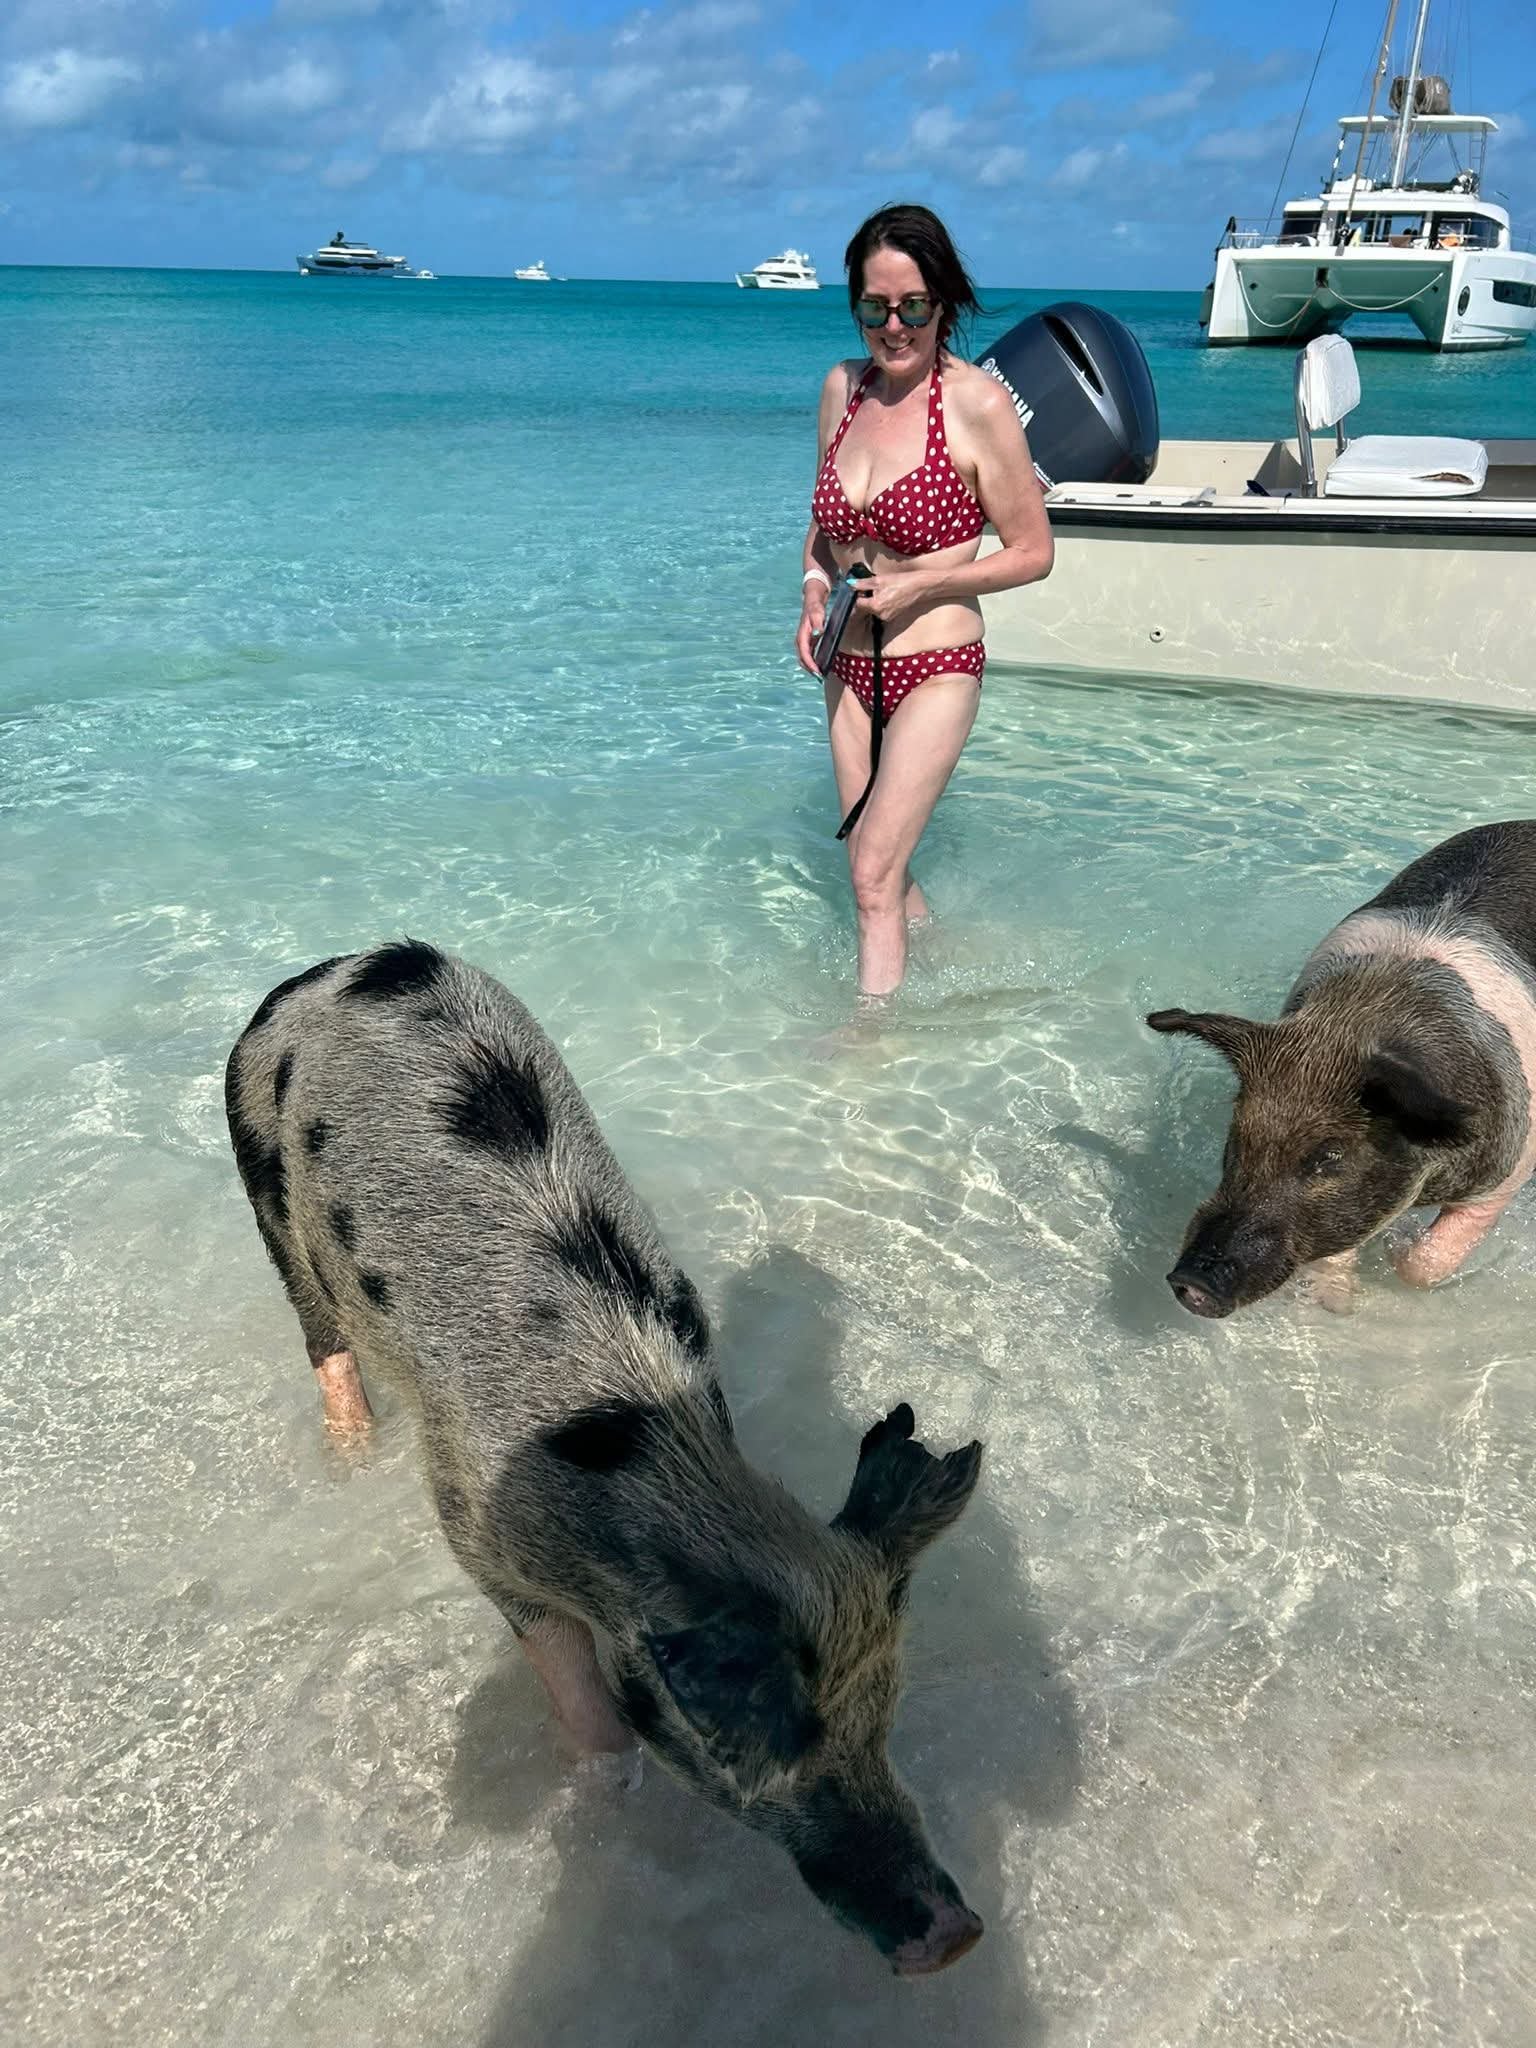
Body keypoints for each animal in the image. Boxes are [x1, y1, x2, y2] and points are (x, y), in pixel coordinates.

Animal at [225, 939, 984, 1974]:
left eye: (885, 1713)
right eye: (751, 1750)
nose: (955, 1935)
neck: (627, 1456)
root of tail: (334, 966)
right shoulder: (477, 1533)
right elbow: (578, 1696)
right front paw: (598, 1812)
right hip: (261, 1178)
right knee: (320, 1333)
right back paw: (348, 1455)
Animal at [1148, 820, 1536, 1319]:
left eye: (1330, 1155)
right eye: (1237, 1136)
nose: (1190, 1280)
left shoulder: (1507, 1171)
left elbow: (1427, 1263)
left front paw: (1394, 1250)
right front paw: (1335, 1302)